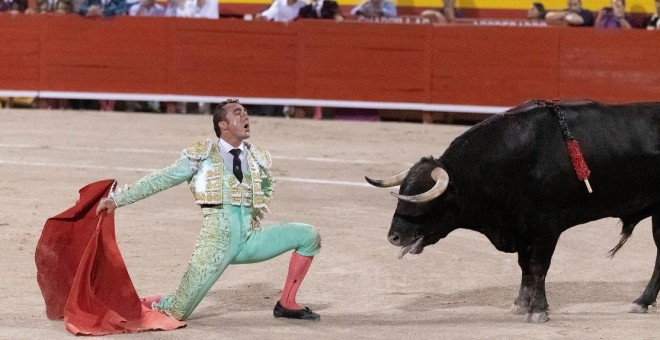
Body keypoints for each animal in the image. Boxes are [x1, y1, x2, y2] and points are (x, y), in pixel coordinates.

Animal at [366, 99, 660, 322]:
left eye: (423, 201)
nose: (393, 237)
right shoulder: (521, 228)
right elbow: (524, 266)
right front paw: (520, 304)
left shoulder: (546, 227)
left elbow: (539, 266)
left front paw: (538, 311)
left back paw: (641, 301)